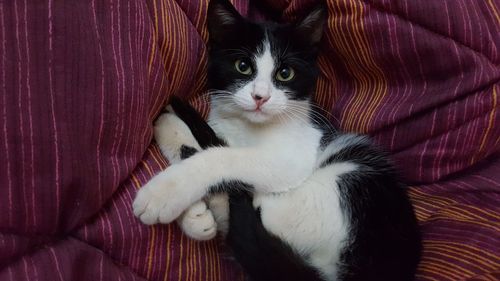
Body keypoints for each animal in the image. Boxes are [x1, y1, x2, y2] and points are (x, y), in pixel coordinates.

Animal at [131, 1, 420, 278]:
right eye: (243, 66)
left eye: (285, 73)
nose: (261, 97)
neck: (247, 128)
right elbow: (210, 142)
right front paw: (193, 214)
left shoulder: (294, 154)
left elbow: (223, 156)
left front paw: (164, 193)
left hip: (349, 181)